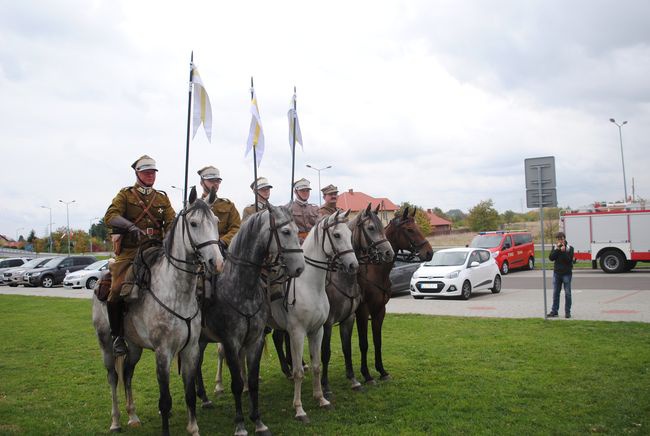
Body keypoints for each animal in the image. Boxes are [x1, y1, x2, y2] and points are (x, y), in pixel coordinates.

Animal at [91, 187, 223, 436]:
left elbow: (189, 394)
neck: (177, 292)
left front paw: (194, 428)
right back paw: (116, 421)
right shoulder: (163, 353)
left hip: (134, 347)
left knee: (128, 374)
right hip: (106, 344)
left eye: (216, 221)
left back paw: (133, 416)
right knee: (113, 378)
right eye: (193, 224)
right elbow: (165, 400)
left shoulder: (190, 350)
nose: (217, 262)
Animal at [197, 206, 304, 436]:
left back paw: (204, 397)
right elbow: (237, 383)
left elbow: (253, 381)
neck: (241, 287)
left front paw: (258, 421)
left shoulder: (255, 340)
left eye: (296, 229)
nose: (300, 268)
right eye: (286, 232)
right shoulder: (231, 342)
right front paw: (240, 424)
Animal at [268, 210, 360, 422]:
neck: (309, 285)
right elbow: (299, 371)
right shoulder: (297, 333)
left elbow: (317, 364)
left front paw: (321, 399)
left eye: (350, 235)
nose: (354, 265)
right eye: (337, 235)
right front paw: (299, 409)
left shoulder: (317, 330)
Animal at [354, 206, 430, 384]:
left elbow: (377, 341)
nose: (429, 253)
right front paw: (367, 375)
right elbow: (363, 343)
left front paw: (382, 371)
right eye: (409, 229)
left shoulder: (379, 311)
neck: (374, 271)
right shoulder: (362, 311)